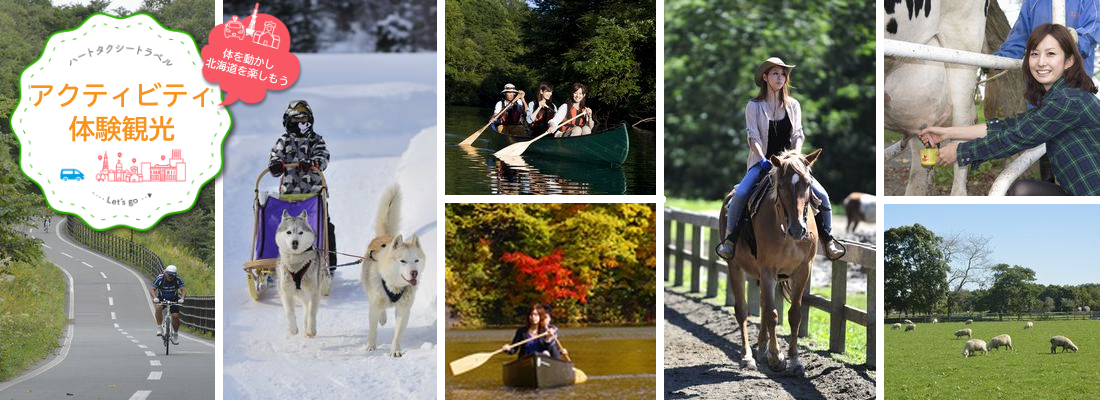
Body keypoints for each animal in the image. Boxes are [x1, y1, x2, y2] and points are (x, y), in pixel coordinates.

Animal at [277, 209, 323, 338]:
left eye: (301, 232)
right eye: (289, 232)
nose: (295, 242)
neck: (295, 264)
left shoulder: (314, 292)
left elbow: (312, 312)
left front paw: (311, 329)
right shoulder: (286, 292)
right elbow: (289, 312)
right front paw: (293, 329)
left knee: (308, 310)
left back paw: (308, 328)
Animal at [365, 184, 424, 356]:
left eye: (416, 260)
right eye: (403, 261)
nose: (414, 273)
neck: (394, 286)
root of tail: (386, 236)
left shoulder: (404, 310)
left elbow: (398, 333)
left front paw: (395, 351)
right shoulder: (374, 304)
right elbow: (372, 329)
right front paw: (371, 346)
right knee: (380, 311)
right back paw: (383, 318)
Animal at [717, 148, 822, 373]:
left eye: (808, 184)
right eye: (781, 185)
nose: (798, 229)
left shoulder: (803, 270)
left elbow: (794, 314)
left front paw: (794, 360)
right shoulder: (767, 270)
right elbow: (773, 315)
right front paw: (776, 357)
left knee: (764, 306)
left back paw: (762, 349)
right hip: (735, 267)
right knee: (742, 310)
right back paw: (748, 356)